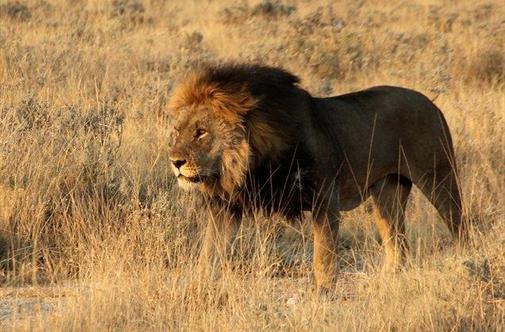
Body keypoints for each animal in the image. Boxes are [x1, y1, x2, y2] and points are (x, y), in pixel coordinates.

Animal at [166, 63, 464, 292]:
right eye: (178, 131)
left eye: (201, 132)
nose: (175, 161)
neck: (253, 163)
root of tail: (430, 103)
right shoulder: (225, 208)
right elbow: (208, 254)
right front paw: (198, 288)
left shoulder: (325, 200)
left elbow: (323, 254)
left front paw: (323, 291)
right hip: (387, 193)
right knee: (397, 242)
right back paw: (388, 278)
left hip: (438, 177)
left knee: (459, 225)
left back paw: (465, 262)